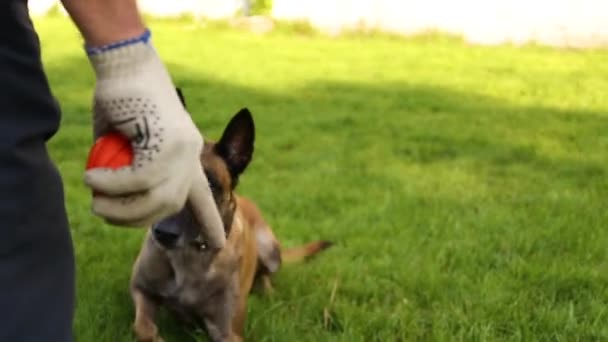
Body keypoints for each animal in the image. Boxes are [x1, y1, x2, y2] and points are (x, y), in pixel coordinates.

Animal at [129, 95, 334, 340]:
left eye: (209, 186)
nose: (163, 233)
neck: (191, 254)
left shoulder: (228, 332)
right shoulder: (140, 288)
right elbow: (143, 327)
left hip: (270, 251)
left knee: (265, 275)